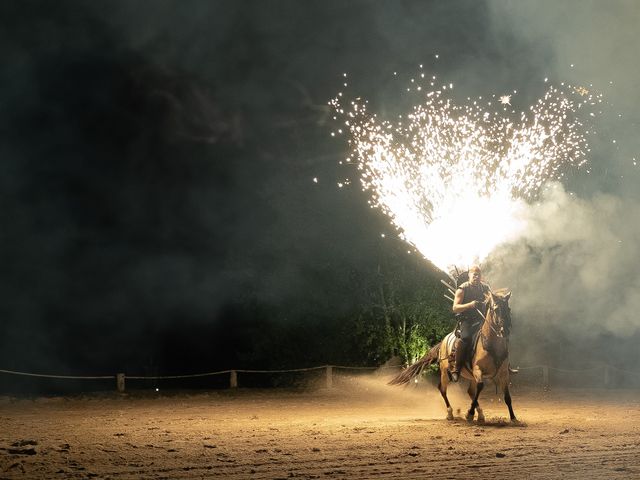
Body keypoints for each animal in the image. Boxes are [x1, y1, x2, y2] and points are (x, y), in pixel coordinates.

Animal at [388, 286, 516, 422]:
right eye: (496, 309)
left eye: (508, 309)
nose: (505, 330)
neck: (490, 344)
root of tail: (443, 341)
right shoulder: (477, 370)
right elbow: (480, 387)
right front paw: (470, 414)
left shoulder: (504, 373)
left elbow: (507, 397)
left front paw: (513, 418)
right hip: (445, 371)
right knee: (443, 389)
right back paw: (450, 413)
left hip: (470, 376)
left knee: (470, 391)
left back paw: (480, 415)